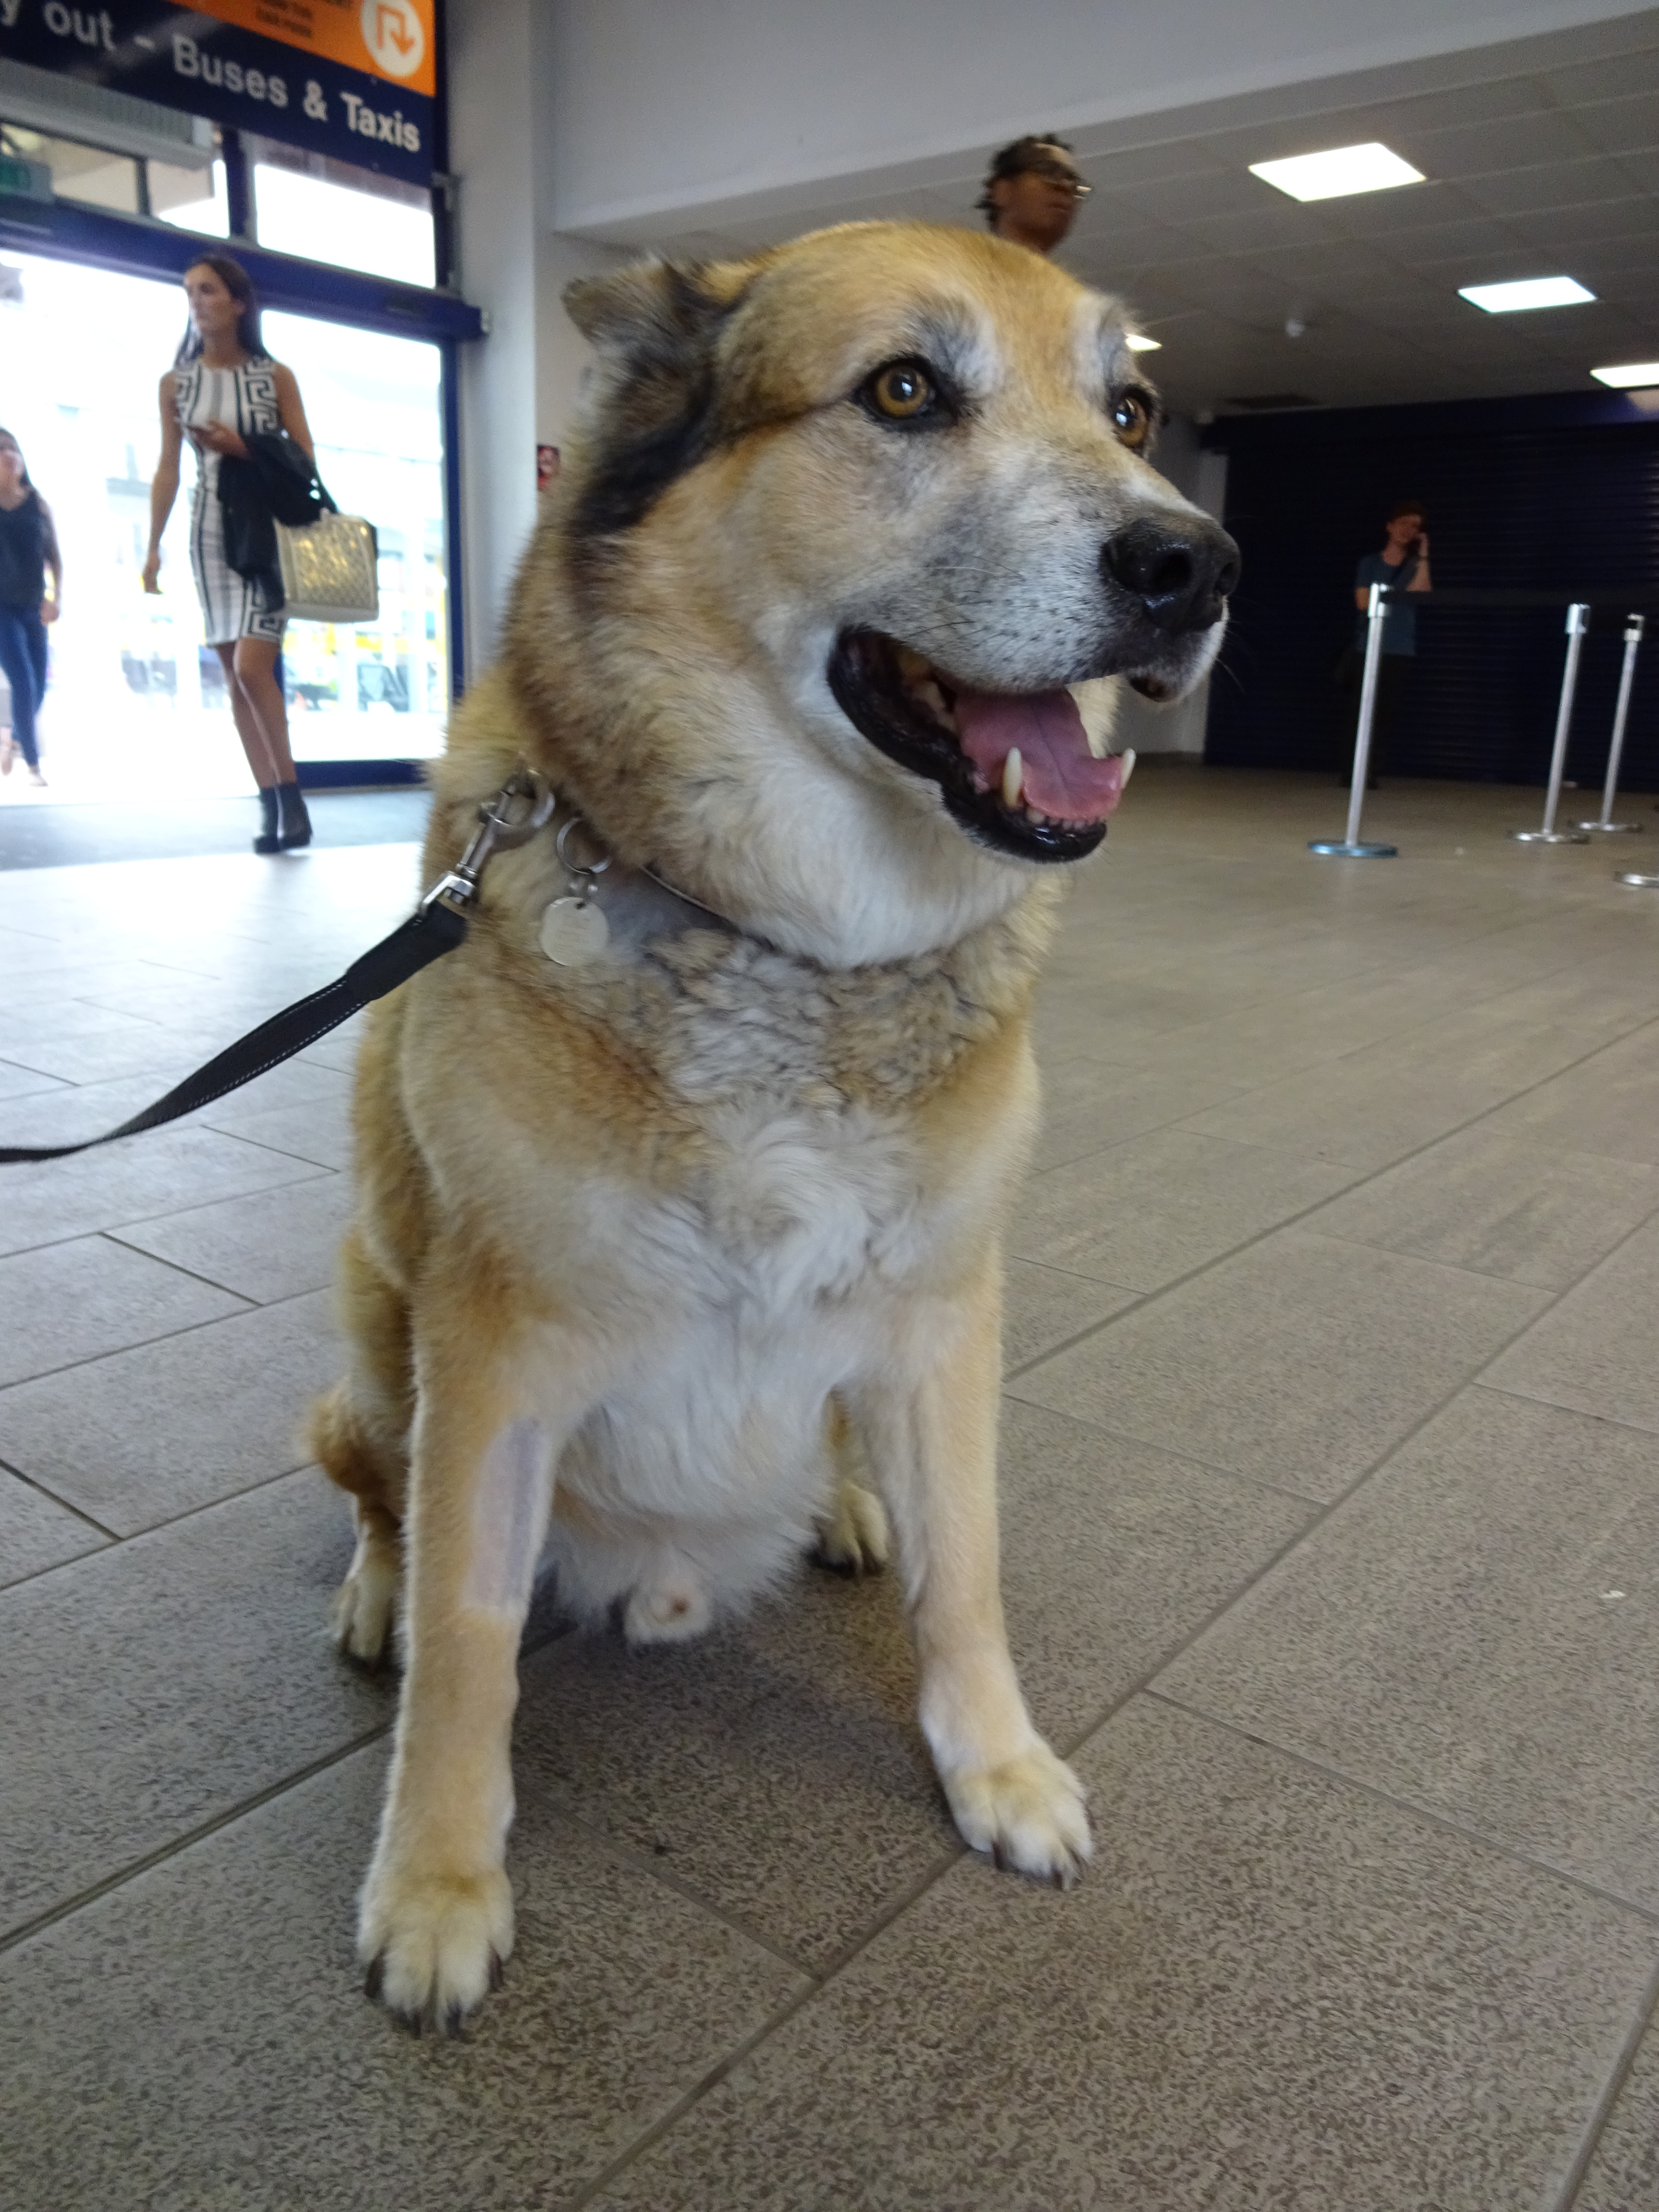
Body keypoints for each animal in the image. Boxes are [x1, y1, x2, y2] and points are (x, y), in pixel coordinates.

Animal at [309, 220, 1238, 2030]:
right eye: (904, 391)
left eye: (1132, 409)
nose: (1200, 566)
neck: (797, 956)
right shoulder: (494, 1353)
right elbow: (467, 1638)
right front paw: (438, 1885)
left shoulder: (947, 1320)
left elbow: (968, 1578)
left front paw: (994, 1769)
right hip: (375, 1328)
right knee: (384, 1508)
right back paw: (373, 1592)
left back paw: (846, 1504)